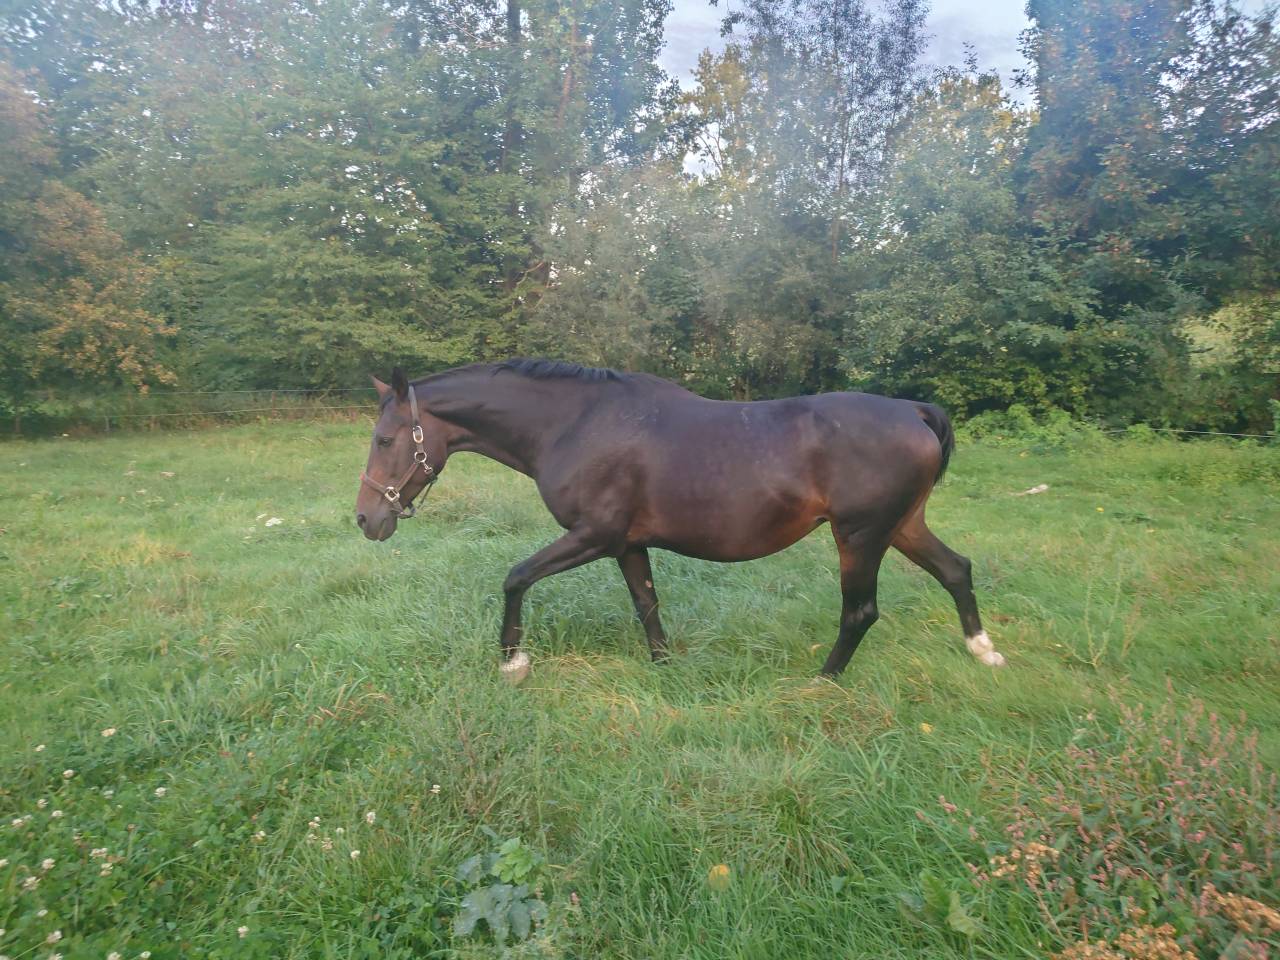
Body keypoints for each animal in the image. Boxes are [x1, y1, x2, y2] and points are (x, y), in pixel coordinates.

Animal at [355, 359, 1005, 683]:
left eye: (385, 439)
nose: (365, 519)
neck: (577, 423)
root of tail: (912, 411)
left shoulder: (593, 536)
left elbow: (516, 577)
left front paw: (513, 661)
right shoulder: (626, 544)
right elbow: (647, 603)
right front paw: (666, 668)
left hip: (861, 536)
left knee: (861, 612)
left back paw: (822, 682)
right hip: (901, 527)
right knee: (956, 569)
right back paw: (983, 650)